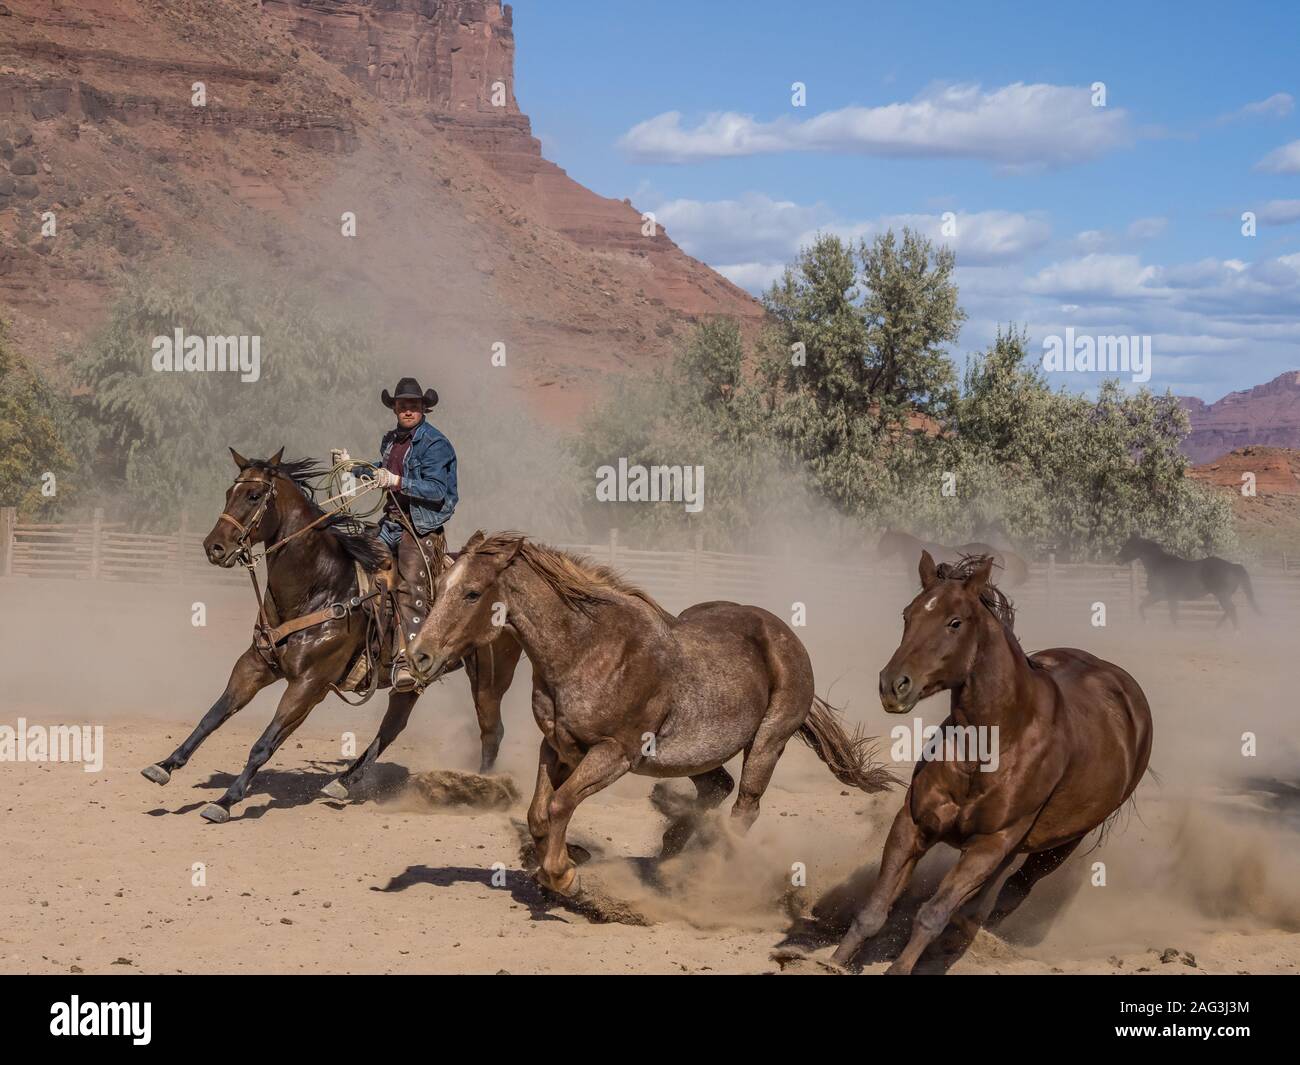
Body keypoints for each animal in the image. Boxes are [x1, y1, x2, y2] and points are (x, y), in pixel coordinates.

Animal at [139, 449, 523, 823]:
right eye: (228, 493)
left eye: (253, 495)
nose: (214, 547)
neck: (322, 586)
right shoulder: (255, 665)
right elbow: (213, 716)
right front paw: (165, 765)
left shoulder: (310, 684)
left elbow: (265, 743)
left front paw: (226, 800)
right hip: (412, 684)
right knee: (394, 725)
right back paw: (342, 782)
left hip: (490, 674)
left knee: (491, 729)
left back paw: (482, 788)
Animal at [405, 531, 898, 897]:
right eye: (442, 585)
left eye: (472, 593)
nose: (419, 657)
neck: (587, 650)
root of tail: (785, 636)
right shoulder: (557, 746)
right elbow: (538, 812)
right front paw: (562, 860)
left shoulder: (615, 754)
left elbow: (561, 803)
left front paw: (564, 876)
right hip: (693, 755)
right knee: (717, 788)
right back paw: (670, 848)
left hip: (767, 743)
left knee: (744, 807)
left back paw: (714, 872)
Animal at [831, 551, 1152, 974]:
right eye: (907, 614)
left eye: (955, 622)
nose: (893, 685)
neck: (993, 742)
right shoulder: (914, 823)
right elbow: (875, 907)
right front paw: (834, 960)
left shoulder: (989, 844)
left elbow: (932, 914)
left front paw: (901, 967)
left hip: (1061, 844)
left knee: (1015, 889)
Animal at [1117, 535, 1260, 628]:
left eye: (1129, 546)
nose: (1118, 559)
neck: (1159, 565)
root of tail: (1234, 566)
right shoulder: (1159, 596)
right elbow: (1141, 607)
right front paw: (1147, 622)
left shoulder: (1166, 597)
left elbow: (1173, 617)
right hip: (1223, 596)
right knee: (1229, 611)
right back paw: (1216, 630)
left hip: (1222, 595)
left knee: (1231, 610)